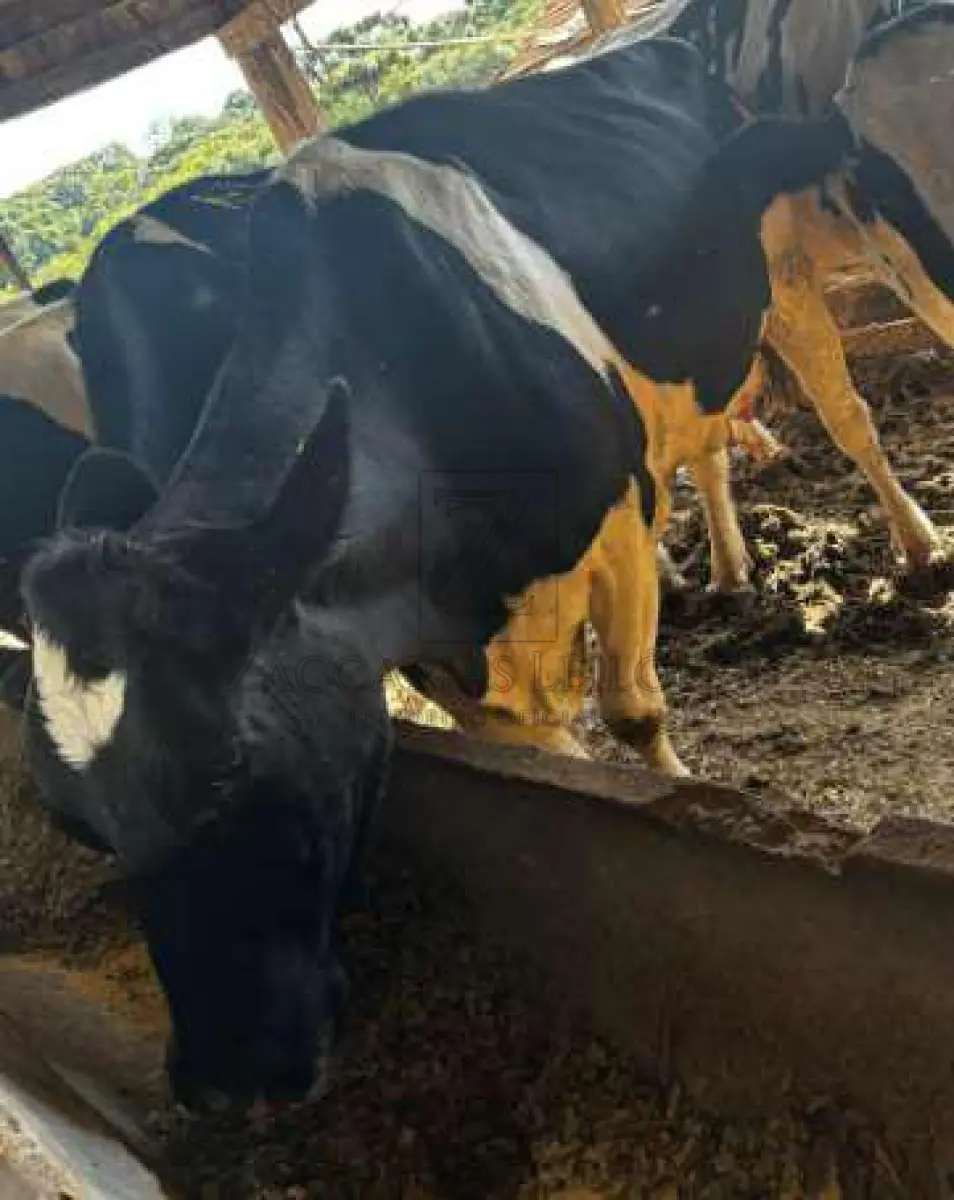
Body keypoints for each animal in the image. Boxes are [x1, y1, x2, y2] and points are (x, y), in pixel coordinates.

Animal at [17, 38, 851, 1110]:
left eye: (227, 767)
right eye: (77, 824)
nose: (223, 1083)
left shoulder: (614, 519)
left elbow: (633, 714)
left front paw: (697, 806)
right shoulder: (425, 640)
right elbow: (551, 754)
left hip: (780, 264)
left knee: (835, 403)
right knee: (703, 448)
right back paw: (737, 567)